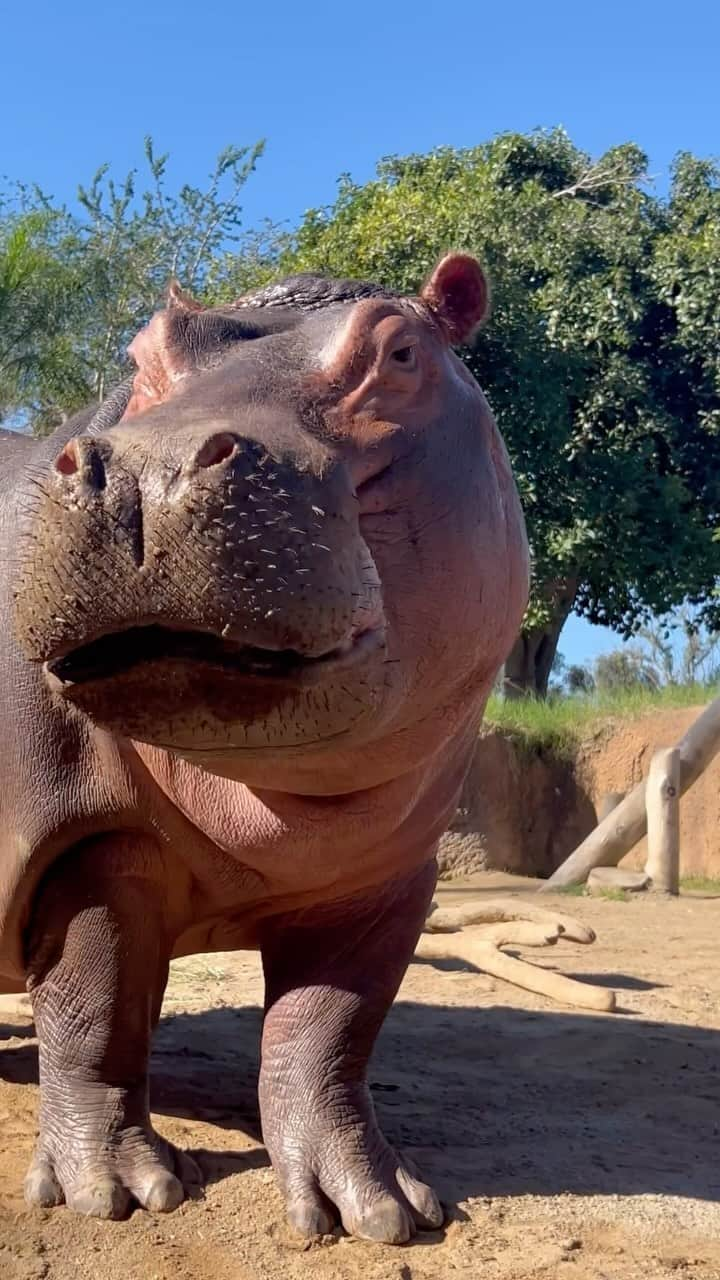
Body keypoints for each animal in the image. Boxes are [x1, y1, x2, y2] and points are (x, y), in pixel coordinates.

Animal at [0, 254, 527, 1244]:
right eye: (140, 353)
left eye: (403, 350)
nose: (152, 468)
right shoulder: (89, 836)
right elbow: (95, 1006)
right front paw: (121, 1195)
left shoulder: (390, 872)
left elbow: (331, 1031)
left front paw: (381, 1210)